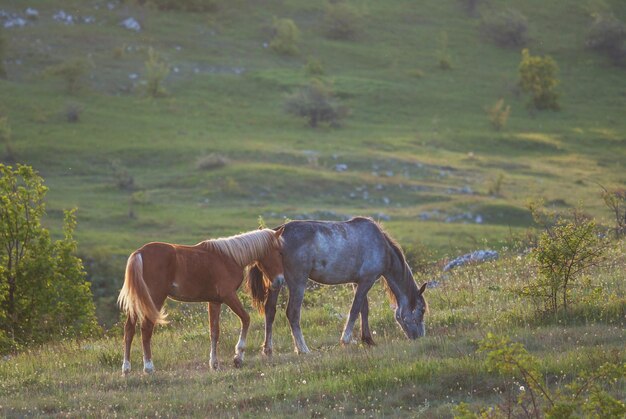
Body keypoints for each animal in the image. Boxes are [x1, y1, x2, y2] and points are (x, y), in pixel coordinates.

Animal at [116, 228, 282, 376]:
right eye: (279, 251)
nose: (280, 281)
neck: (229, 258)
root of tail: (139, 253)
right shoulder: (229, 296)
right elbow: (246, 319)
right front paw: (238, 358)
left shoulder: (215, 301)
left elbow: (214, 332)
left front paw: (214, 364)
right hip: (154, 299)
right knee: (146, 329)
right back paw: (149, 368)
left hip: (138, 303)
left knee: (129, 330)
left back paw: (126, 369)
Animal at [246, 217, 426, 358]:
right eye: (421, 310)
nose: (420, 337)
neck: (381, 246)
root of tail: (278, 232)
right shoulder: (367, 281)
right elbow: (355, 309)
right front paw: (345, 340)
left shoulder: (357, 282)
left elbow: (364, 310)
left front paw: (368, 339)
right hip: (298, 282)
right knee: (293, 313)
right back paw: (303, 349)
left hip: (275, 283)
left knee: (270, 311)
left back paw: (268, 350)